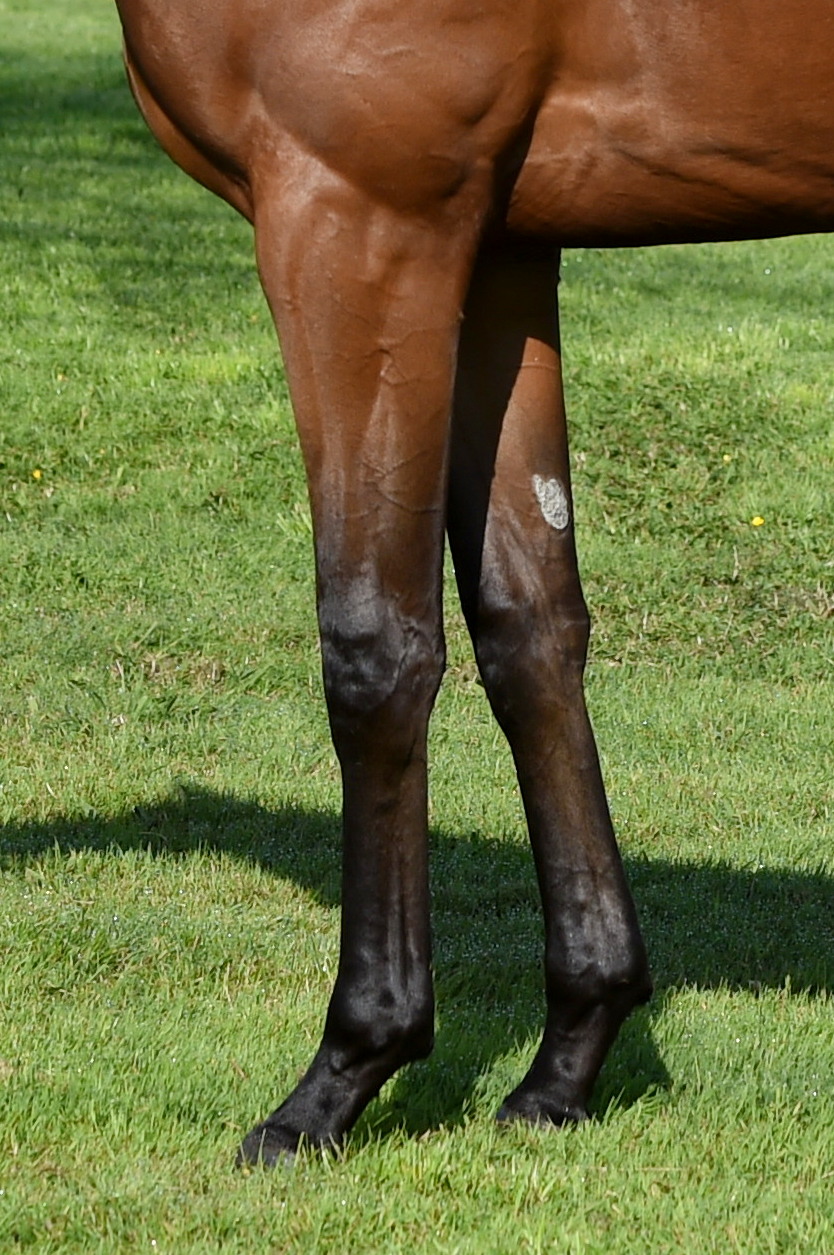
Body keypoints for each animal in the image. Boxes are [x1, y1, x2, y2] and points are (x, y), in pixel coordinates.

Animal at [112, 0, 834, 1165]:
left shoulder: (363, 223)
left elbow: (378, 647)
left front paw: (344, 1074)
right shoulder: (498, 247)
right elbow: (528, 627)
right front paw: (568, 1062)